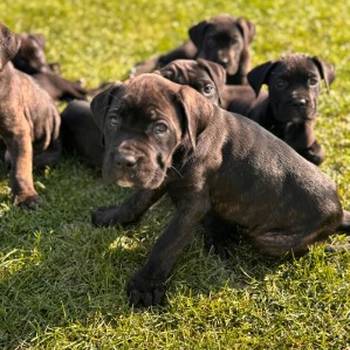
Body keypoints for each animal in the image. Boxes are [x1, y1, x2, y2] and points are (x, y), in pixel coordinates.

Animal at [89, 73, 350, 306]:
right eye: (113, 120)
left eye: (160, 128)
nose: (125, 161)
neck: (184, 148)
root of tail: (338, 210)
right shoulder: (159, 176)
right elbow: (136, 201)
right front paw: (112, 217)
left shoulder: (192, 205)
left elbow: (166, 243)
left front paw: (146, 285)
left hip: (269, 239)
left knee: (304, 248)